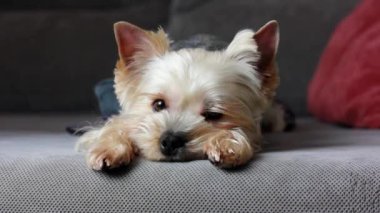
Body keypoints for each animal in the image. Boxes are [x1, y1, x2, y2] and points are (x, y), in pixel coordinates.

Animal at [76, 20, 290, 170]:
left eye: (214, 114)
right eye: (158, 104)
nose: (170, 141)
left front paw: (226, 144)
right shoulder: (126, 117)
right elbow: (115, 126)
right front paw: (108, 149)